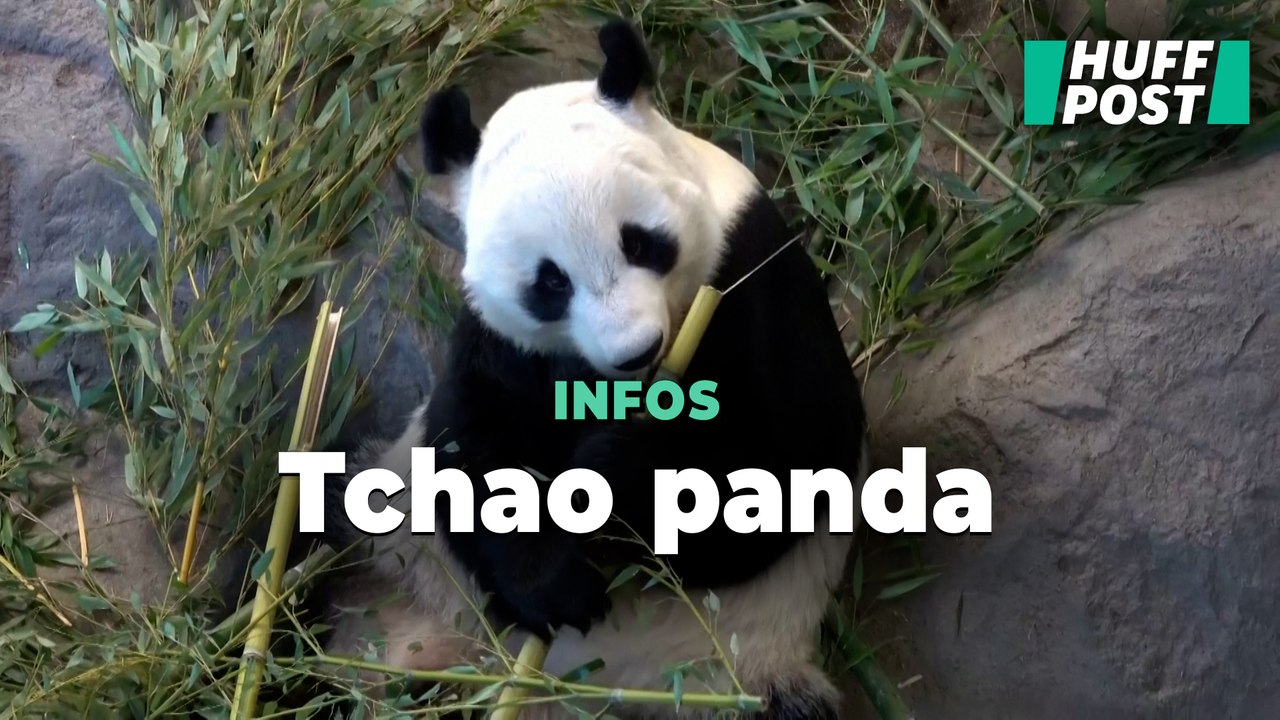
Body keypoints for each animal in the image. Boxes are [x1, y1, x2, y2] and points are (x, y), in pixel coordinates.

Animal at [234, 17, 868, 720]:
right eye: (549, 282)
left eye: (640, 242)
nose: (637, 350)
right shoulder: (501, 341)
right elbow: (472, 442)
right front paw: (552, 582)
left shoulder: (751, 276)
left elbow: (781, 461)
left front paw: (606, 476)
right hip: (388, 542)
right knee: (314, 531)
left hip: (736, 674)